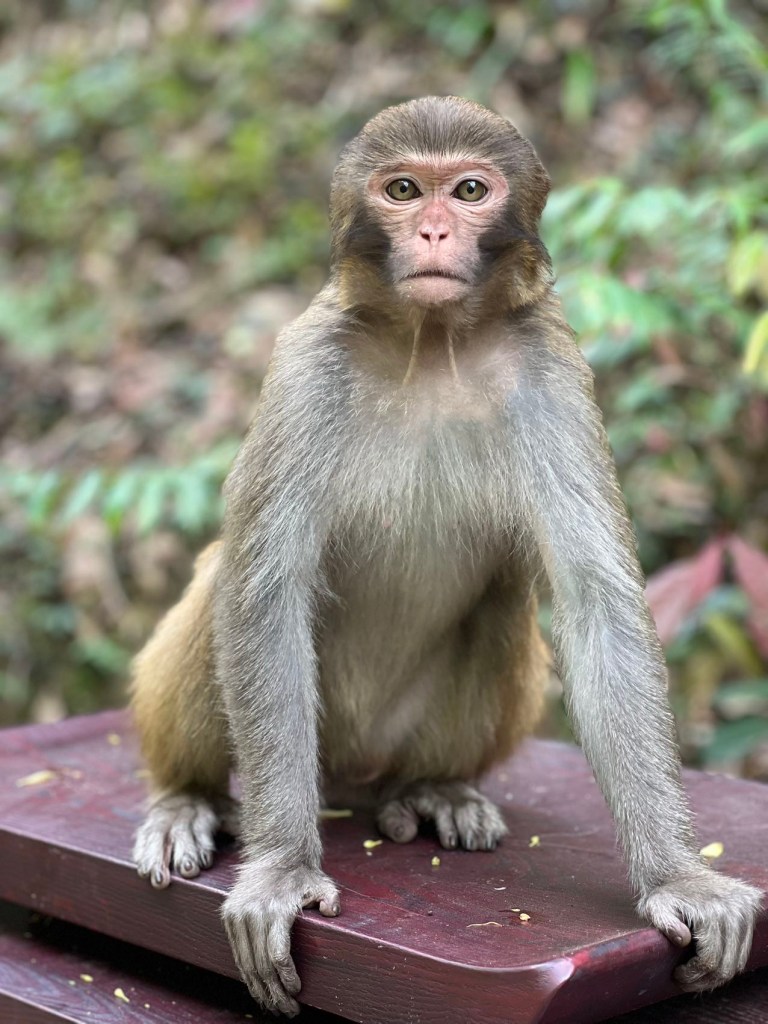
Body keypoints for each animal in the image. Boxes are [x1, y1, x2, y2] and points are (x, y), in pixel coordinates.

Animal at [131, 96, 761, 1017]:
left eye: (468, 191)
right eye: (402, 190)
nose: (432, 230)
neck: (431, 342)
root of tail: (354, 778)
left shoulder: (553, 369)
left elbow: (596, 603)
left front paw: (677, 877)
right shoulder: (306, 365)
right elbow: (264, 593)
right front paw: (281, 868)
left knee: (504, 599)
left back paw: (433, 791)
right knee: (223, 581)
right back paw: (189, 796)